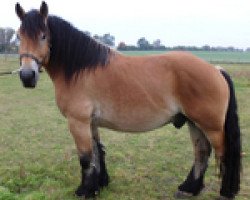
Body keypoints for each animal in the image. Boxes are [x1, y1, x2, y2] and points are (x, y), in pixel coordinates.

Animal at [15, 1, 240, 200]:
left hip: (211, 126)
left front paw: (84, 191)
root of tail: (216, 70)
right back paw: (188, 189)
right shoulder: (91, 123)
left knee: (224, 153)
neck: (79, 70)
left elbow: (86, 157)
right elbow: (98, 152)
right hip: (194, 122)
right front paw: (99, 186)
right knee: (202, 152)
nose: (27, 76)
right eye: (19, 36)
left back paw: (225, 193)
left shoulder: (77, 122)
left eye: (43, 36)